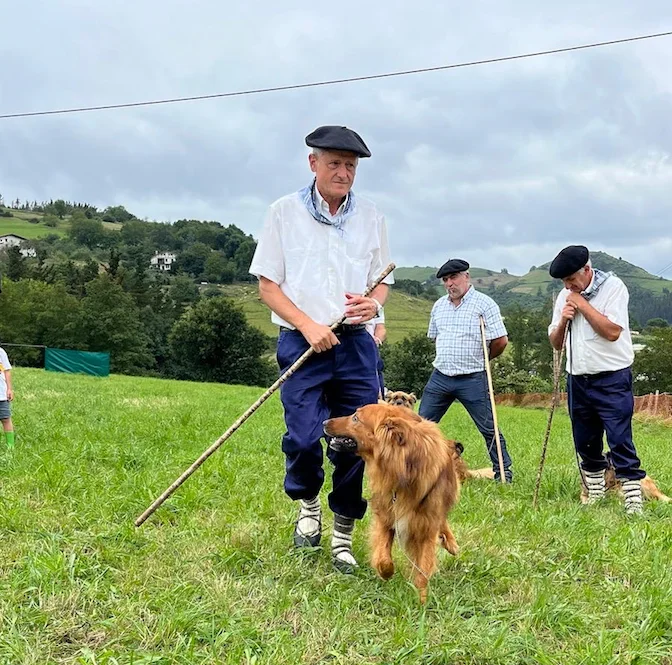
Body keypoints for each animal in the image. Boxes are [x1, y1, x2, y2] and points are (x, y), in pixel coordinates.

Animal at [325, 403, 460, 603]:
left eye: (355, 418)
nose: (324, 422)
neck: (404, 467)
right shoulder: (386, 516)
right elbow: (383, 557)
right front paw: (386, 573)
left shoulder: (426, 527)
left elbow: (423, 568)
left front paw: (421, 600)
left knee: (443, 520)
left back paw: (451, 543)